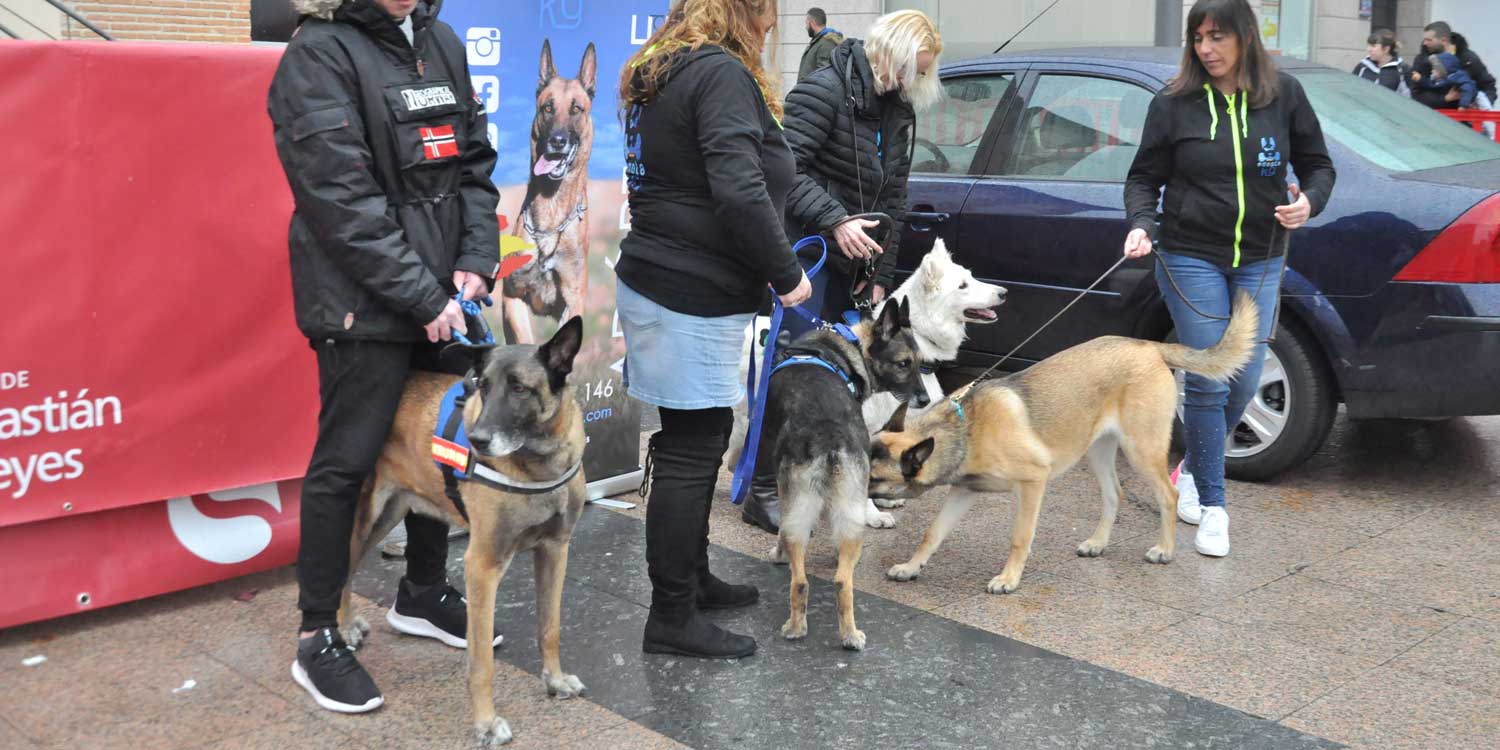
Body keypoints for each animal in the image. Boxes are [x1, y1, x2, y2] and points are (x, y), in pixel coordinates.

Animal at [333, 316, 585, 744]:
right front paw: (485, 723)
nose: (479, 441)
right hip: (361, 518)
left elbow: (549, 628)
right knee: (337, 571)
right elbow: (481, 659)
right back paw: (341, 629)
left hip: (386, 516)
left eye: (519, 388)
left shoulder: (555, 550)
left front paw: (554, 680)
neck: (538, 461)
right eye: (482, 385)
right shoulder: (482, 566)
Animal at [864, 295, 1260, 594]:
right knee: (1114, 494)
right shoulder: (963, 492)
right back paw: (1098, 543)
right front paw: (911, 567)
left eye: (875, 478)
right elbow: (932, 534)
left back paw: (1164, 549)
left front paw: (1009, 579)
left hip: (1142, 451)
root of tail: (1149, 346)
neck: (967, 427)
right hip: (1098, 452)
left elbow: (1020, 537)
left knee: (1167, 495)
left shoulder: (1032, 485)